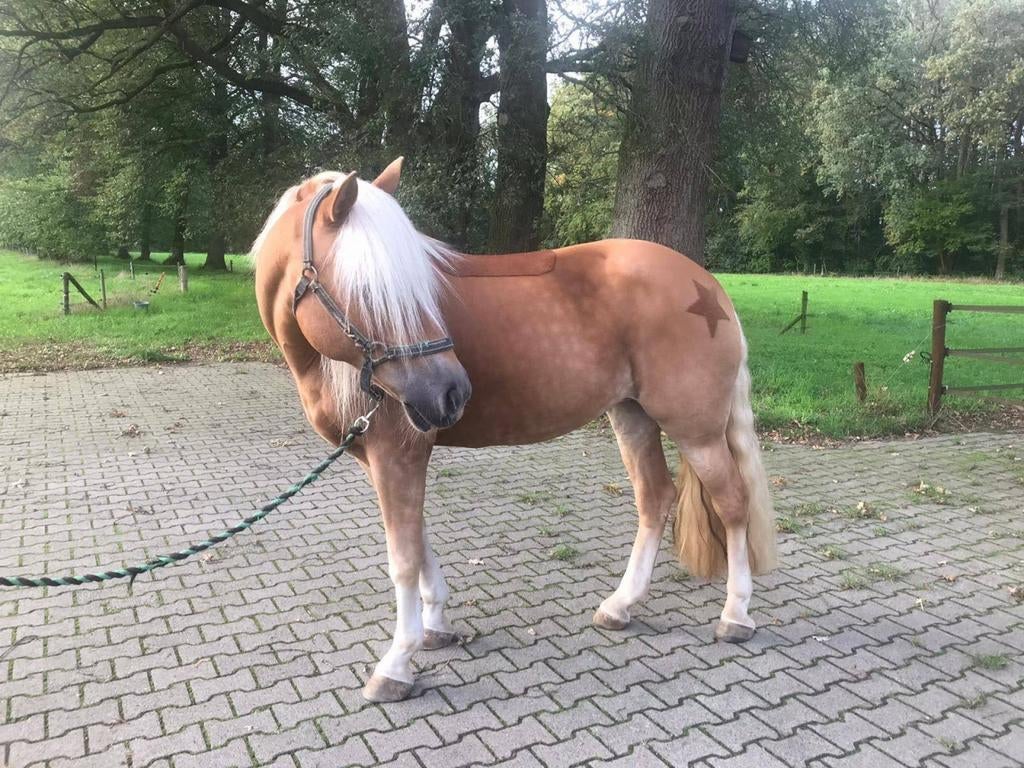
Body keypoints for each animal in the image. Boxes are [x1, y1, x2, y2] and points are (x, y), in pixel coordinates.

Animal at [252, 158, 777, 703]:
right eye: (373, 291)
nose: (452, 392)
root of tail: (706, 284)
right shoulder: (385, 460)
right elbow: (419, 541)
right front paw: (436, 626)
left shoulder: (398, 454)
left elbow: (404, 557)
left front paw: (397, 663)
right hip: (631, 415)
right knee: (655, 497)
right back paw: (620, 606)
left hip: (696, 430)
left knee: (732, 503)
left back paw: (736, 614)